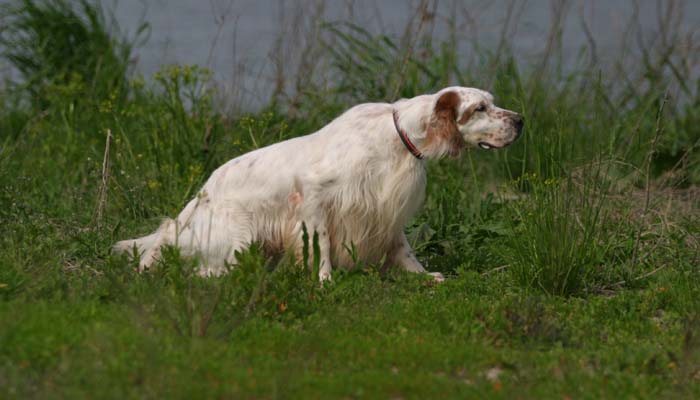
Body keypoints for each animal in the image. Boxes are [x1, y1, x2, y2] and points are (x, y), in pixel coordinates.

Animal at [113, 86, 520, 282]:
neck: (398, 137)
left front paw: (425, 277)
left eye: (492, 103)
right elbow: (321, 245)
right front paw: (324, 280)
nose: (521, 120)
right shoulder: (315, 200)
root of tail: (195, 205)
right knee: (204, 271)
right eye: (479, 108)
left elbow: (402, 248)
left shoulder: (385, 211)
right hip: (240, 239)